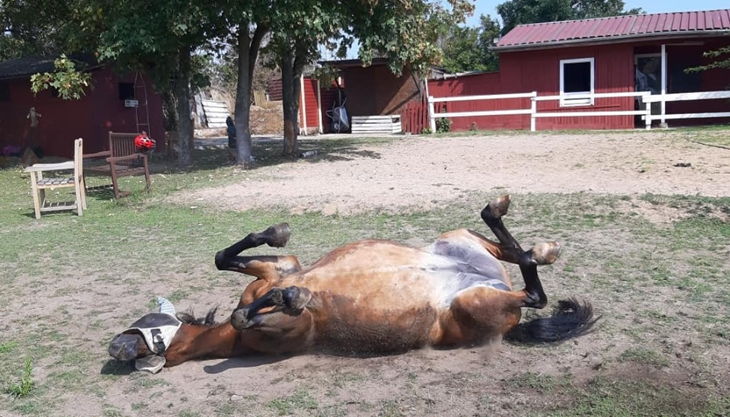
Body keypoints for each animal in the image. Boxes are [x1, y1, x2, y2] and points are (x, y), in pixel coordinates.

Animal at [108, 195, 596, 371]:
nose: (116, 348)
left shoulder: (280, 271)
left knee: (530, 280)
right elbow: (245, 307)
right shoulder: (285, 314)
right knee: (529, 283)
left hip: (462, 264)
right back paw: (535, 244)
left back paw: (526, 234)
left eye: (145, 323)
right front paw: (293, 294)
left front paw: (278, 238)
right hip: (472, 298)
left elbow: (232, 267)